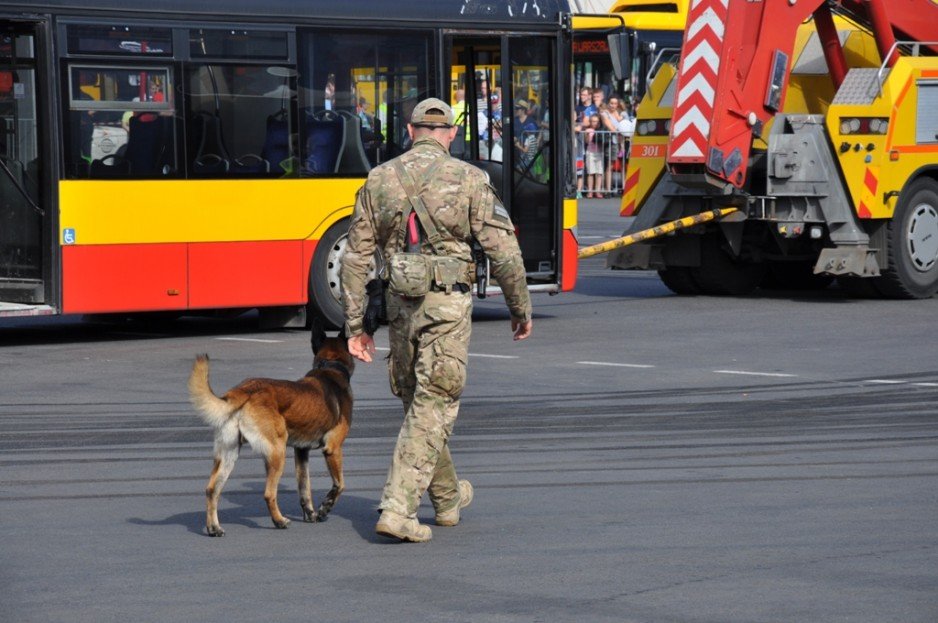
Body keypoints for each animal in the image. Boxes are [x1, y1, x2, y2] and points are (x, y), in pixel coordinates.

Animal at [188, 322, 352, 536]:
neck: (331, 366)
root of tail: (243, 390)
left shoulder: (301, 452)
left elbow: (304, 489)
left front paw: (310, 514)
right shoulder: (333, 448)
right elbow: (339, 485)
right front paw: (325, 508)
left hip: (229, 454)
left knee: (212, 490)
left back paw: (213, 527)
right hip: (277, 453)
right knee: (268, 493)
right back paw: (279, 521)